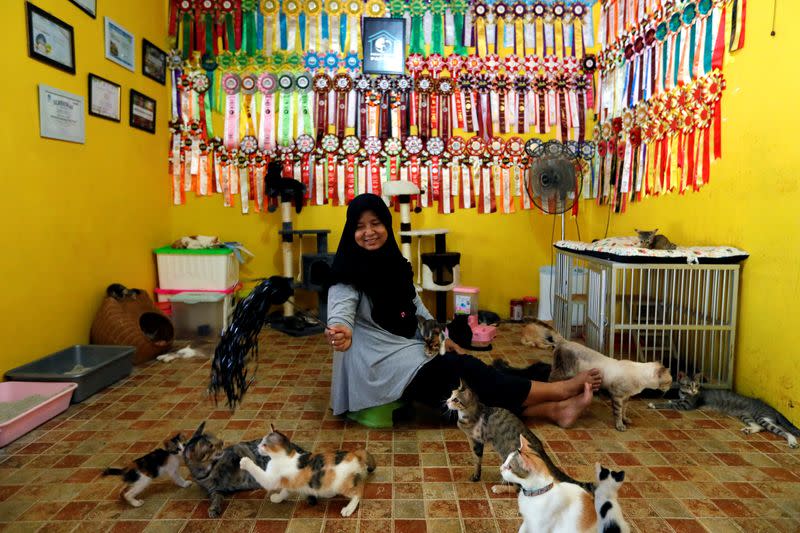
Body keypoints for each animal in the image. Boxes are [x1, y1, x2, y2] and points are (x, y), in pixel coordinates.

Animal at [239, 424, 376, 516]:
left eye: (264, 444)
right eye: (261, 442)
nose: (257, 447)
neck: (286, 456)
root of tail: (355, 455)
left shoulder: (271, 479)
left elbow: (259, 473)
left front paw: (245, 462)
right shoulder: (290, 483)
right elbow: (285, 491)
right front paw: (277, 498)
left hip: (340, 484)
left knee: (358, 493)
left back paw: (348, 509)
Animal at [444, 378, 592, 490]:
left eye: (456, 399)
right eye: (451, 394)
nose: (447, 401)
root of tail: (540, 448)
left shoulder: (476, 441)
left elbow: (477, 460)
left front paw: (476, 476)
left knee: (517, 487)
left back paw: (499, 488)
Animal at [648, 372, 800, 446]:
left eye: (696, 385)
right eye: (688, 385)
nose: (694, 391)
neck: (684, 394)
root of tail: (772, 408)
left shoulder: (686, 405)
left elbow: (670, 404)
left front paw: (654, 404)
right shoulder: (682, 400)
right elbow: (673, 400)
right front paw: (669, 399)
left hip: (761, 416)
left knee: (783, 430)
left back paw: (792, 442)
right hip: (745, 415)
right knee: (760, 427)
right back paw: (748, 430)